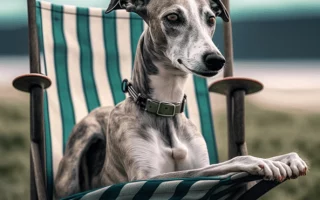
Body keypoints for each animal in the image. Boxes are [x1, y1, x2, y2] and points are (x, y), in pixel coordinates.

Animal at [54, 0, 308, 197]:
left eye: (210, 19)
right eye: (173, 17)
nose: (216, 60)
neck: (165, 108)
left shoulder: (199, 161)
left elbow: (212, 165)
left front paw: (289, 158)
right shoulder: (145, 178)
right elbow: (223, 164)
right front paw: (259, 161)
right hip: (83, 139)